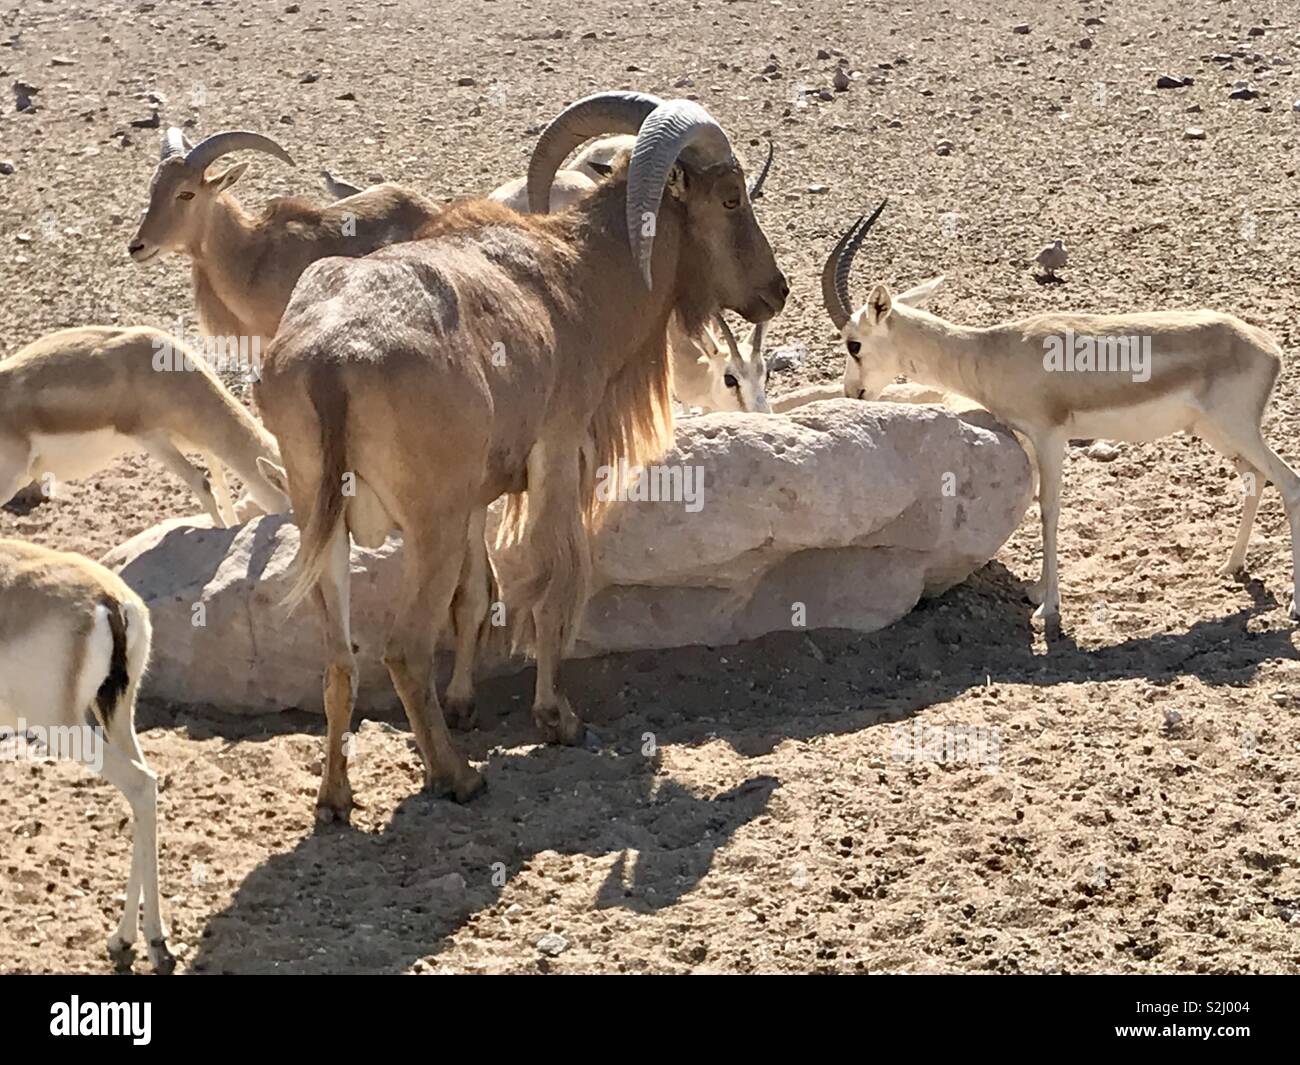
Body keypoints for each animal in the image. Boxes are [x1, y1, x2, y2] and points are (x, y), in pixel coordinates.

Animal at [0, 539, 174, 973]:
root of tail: (109, 599)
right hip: (118, 715)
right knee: (147, 784)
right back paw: (126, 937)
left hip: (63, 728)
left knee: (140, 784)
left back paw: (156, 941)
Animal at [254, 91, 787, 822]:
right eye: (732, 198)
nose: (777, 289)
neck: (577, 277)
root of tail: (331, 358)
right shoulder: (557, 456)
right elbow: (550, 579)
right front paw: (557, 718)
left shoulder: (479, 496)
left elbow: (478, 595)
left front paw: (466, 703)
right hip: (428, 523)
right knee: (403, 648)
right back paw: (456, 776)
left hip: (321, 516)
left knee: (340, 658)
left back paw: (336, 797)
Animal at [823, 208, 1300, 623]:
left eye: (854, 344)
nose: (852, 392)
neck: (991, 351)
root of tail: (1267, 345)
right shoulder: (1032, 439)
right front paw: (1038, 590)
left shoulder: (1050, 436)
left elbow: (1049, 509)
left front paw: (1047, 607)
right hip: (1215, 431)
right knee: (1255, 478)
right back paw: (1231, 567)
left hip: (1237, 428)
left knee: (1288, 480)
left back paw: (1294, 604)